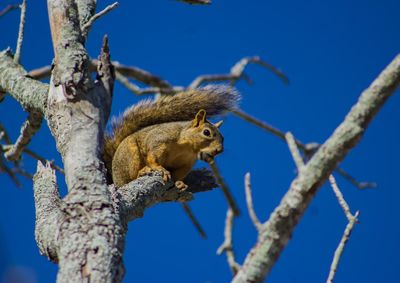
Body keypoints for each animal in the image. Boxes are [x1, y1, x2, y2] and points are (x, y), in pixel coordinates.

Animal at [104, 85, 241, 190]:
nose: (219, 150)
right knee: (131, 177)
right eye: (206, 132)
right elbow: (152, 155)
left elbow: (178, 175)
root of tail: (115, 179)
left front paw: (179, 183)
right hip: (130, 155)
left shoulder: (186, 163)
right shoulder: (159, 139)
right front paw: (159, 168)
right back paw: (142, 171)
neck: (188, 148)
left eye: (223, 138)